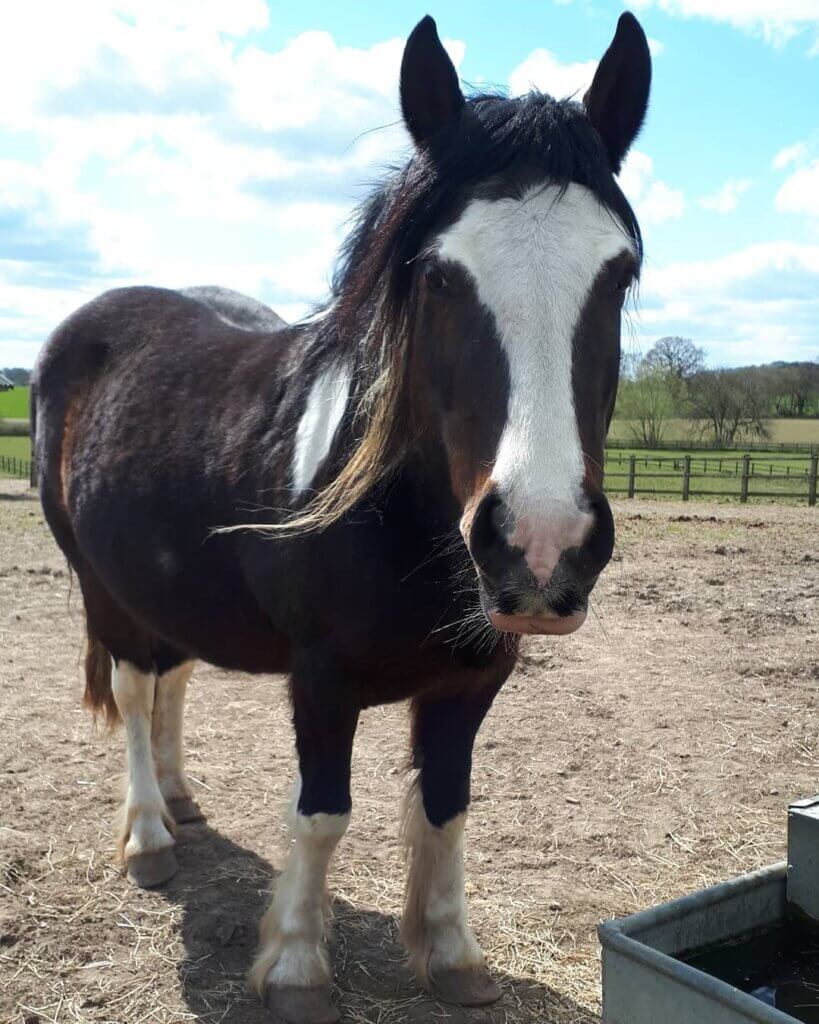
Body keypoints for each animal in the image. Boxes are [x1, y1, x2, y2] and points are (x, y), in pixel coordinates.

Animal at [33, 13, 651, 1023]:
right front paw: (294, 967)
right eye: (437, 277)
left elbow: (446, 803)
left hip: (171, 588)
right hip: (102, 589)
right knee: (130, 690)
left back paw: (181, 799)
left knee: (171, 682)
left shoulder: (477, 675)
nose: (540, 544)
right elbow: (321, 813)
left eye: (619, 271)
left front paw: (451, 953)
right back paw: (151, 836)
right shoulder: (320, 677)